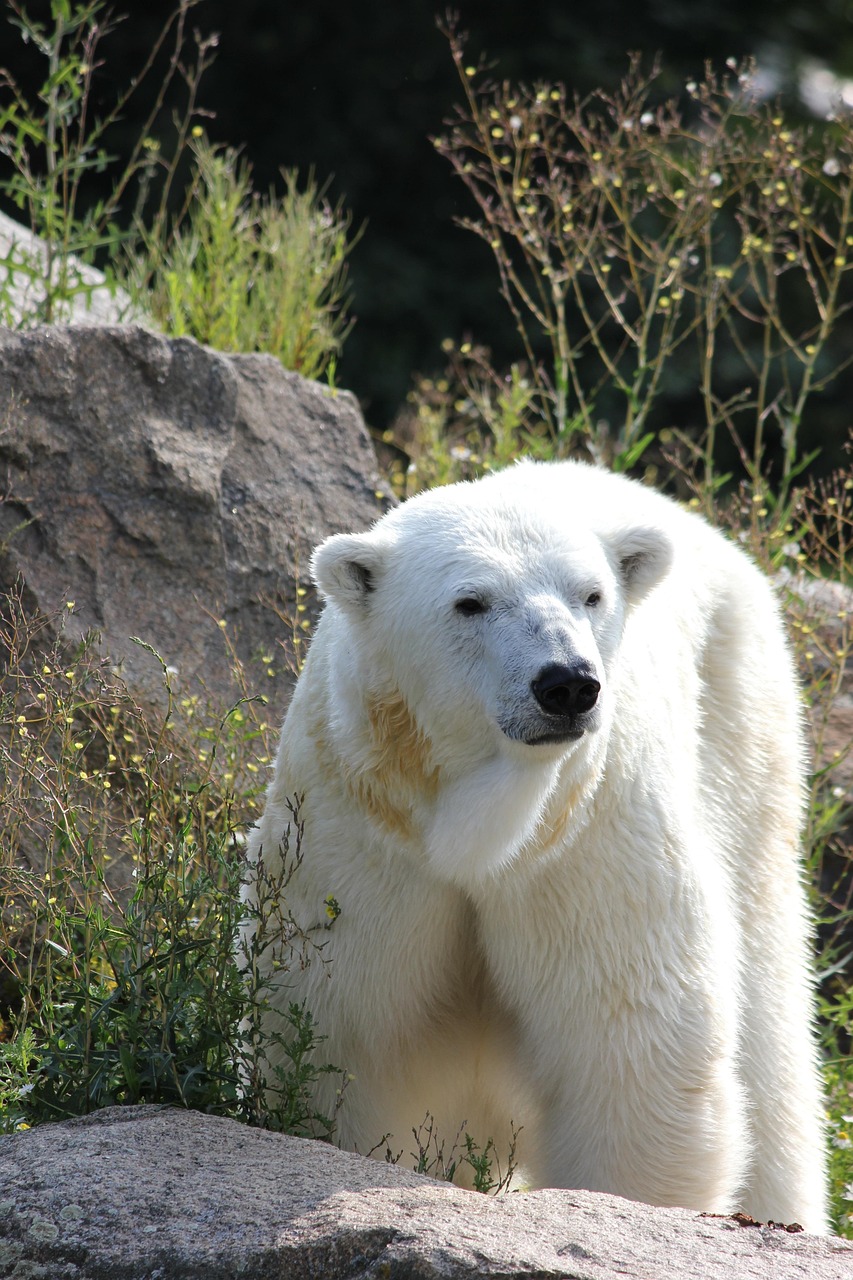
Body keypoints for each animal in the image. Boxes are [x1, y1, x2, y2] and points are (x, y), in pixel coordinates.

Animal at [242, 458, 824, 1228]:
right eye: (470, 602)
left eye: (591, 594)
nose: (567, 684)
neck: (480, 826)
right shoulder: (358, 835)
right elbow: (342, 1028)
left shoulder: (583, 840)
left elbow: (626, 1037)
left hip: (741, 727)